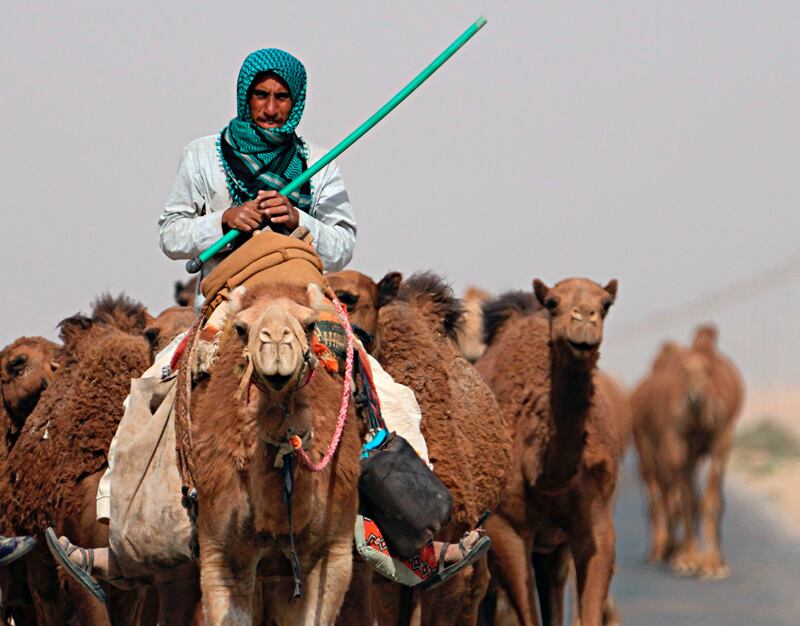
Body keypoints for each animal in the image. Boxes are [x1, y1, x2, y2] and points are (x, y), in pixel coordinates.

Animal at [476, 276, 624, 624]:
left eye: (606, 304)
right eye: (553, 303)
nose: (584, 320)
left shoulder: (597, 523)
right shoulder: (506, 530)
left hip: (554, 546)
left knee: (553, 583)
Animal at [632, 324, 744, 576]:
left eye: (710, 371)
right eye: (684, 372)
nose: (695, 397)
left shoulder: (721, 442)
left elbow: (710, 501)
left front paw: (712, 564)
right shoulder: (678, 447)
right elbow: (685, 501)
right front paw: (687, 560)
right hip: (646, 450)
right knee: (657, 497)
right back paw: (659, 552)